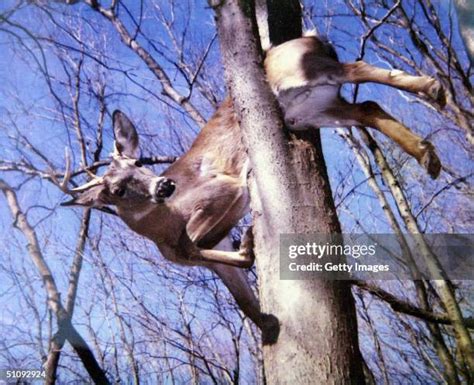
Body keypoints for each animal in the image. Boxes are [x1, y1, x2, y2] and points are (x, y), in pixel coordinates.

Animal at [62, 35, 444, 342]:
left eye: (139, 164)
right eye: (117, 189)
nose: (164, 185)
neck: (163, 231)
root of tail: (309, 38)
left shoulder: (223, 191)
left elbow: (197, 239)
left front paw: (247, 243)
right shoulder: (214, 261)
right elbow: (242, 300)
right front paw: (267, 322)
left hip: (299, 75)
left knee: (356, 69)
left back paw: (433, 90)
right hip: (308, 110)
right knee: (366, 106)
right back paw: (427, 156)